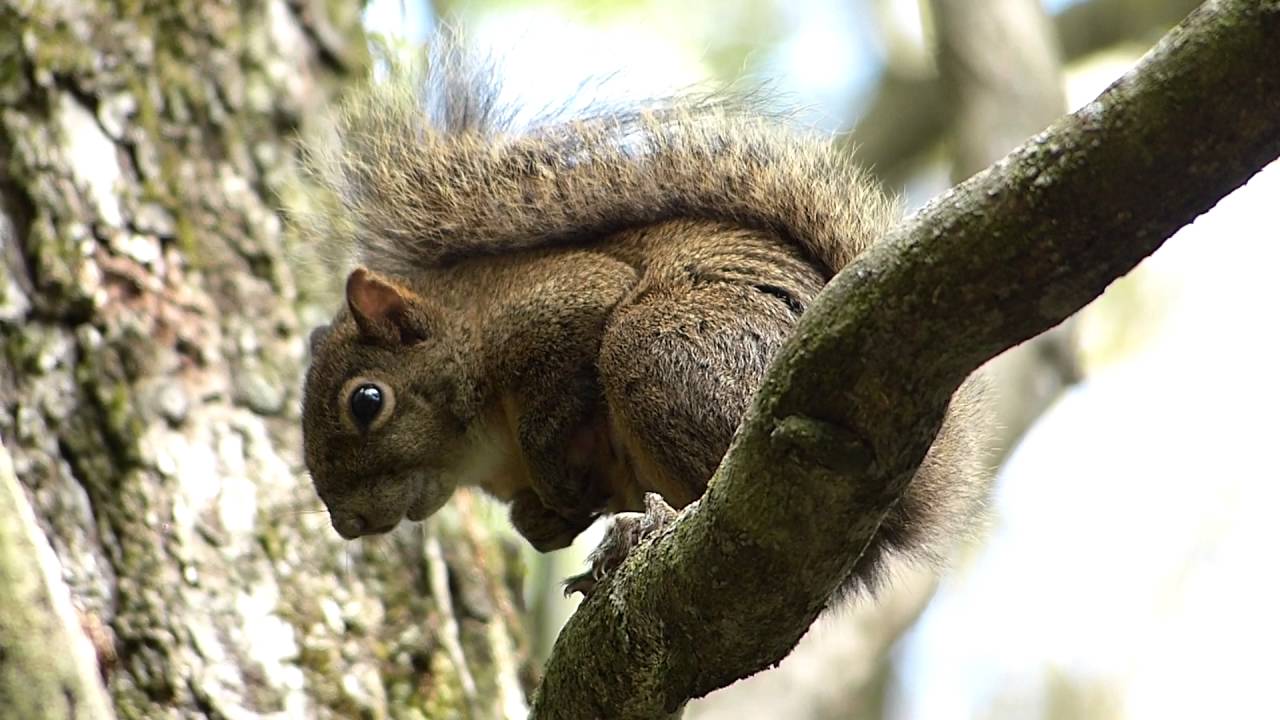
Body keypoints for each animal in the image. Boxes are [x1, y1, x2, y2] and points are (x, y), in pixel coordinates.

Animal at [296, 36, 988, 591]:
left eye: (367, 401)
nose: (349, 523)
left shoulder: (560, 304)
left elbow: (552, 405)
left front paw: (557, 482)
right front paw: (545, 520)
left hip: (659, 349)